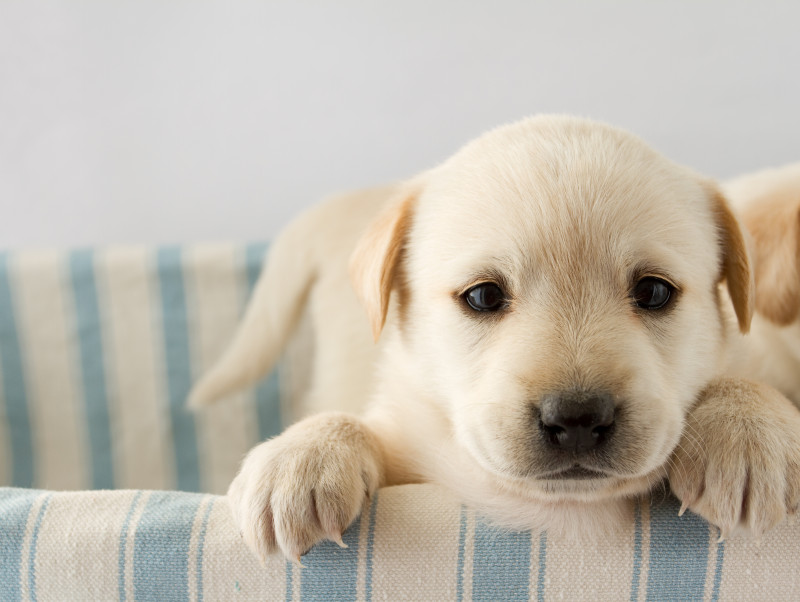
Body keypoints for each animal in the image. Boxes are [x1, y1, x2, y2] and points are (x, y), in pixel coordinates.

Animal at [189, 117, 800, 564]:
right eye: (483, 296)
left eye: (653, 291)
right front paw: (299, 458)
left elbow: (741, 381)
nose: (577, 417)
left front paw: (748, 433)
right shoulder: (408, 435)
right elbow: (361, 423)